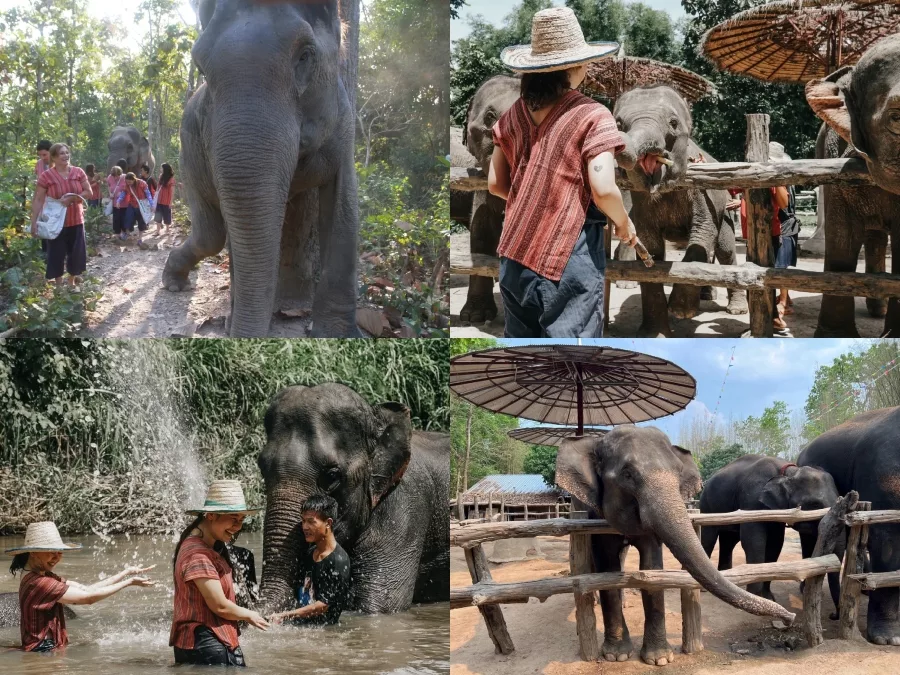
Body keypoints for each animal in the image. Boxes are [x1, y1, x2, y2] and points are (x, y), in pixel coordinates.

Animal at [162, 0, 362, 338]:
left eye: (305, 55)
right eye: (201, 68)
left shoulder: (344, 123)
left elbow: (344, 209)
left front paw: (339, 334)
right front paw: (232, 321)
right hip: (186, 157)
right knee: (210, 234)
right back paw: (173, 283)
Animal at [556, 427, 794, 667]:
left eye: (679, 473)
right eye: (627, 474)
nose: (789, 619)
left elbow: (651, 569)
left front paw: (659, 658)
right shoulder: (594, 514)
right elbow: (608, 567)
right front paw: (617, 656)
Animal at [613, 85, 747, 336]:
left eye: (673, 123)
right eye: (618, 124)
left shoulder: (702, 191)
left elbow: (703, 232)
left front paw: (681, 310)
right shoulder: (640, 198)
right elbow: (651, 246)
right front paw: (653, 333)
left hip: (725, 208)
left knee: (725, 250)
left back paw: (736, 309)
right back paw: (706, 294)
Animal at [699, 454, 842, 615]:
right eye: (815, 505)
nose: (832, 615)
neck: (788, 471)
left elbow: (775, 544)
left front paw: (768, 597)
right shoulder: (752, 499)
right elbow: (754, 542)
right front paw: (756, 598)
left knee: (728, 540)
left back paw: (727, 579)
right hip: (707, 505)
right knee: (709, 537)